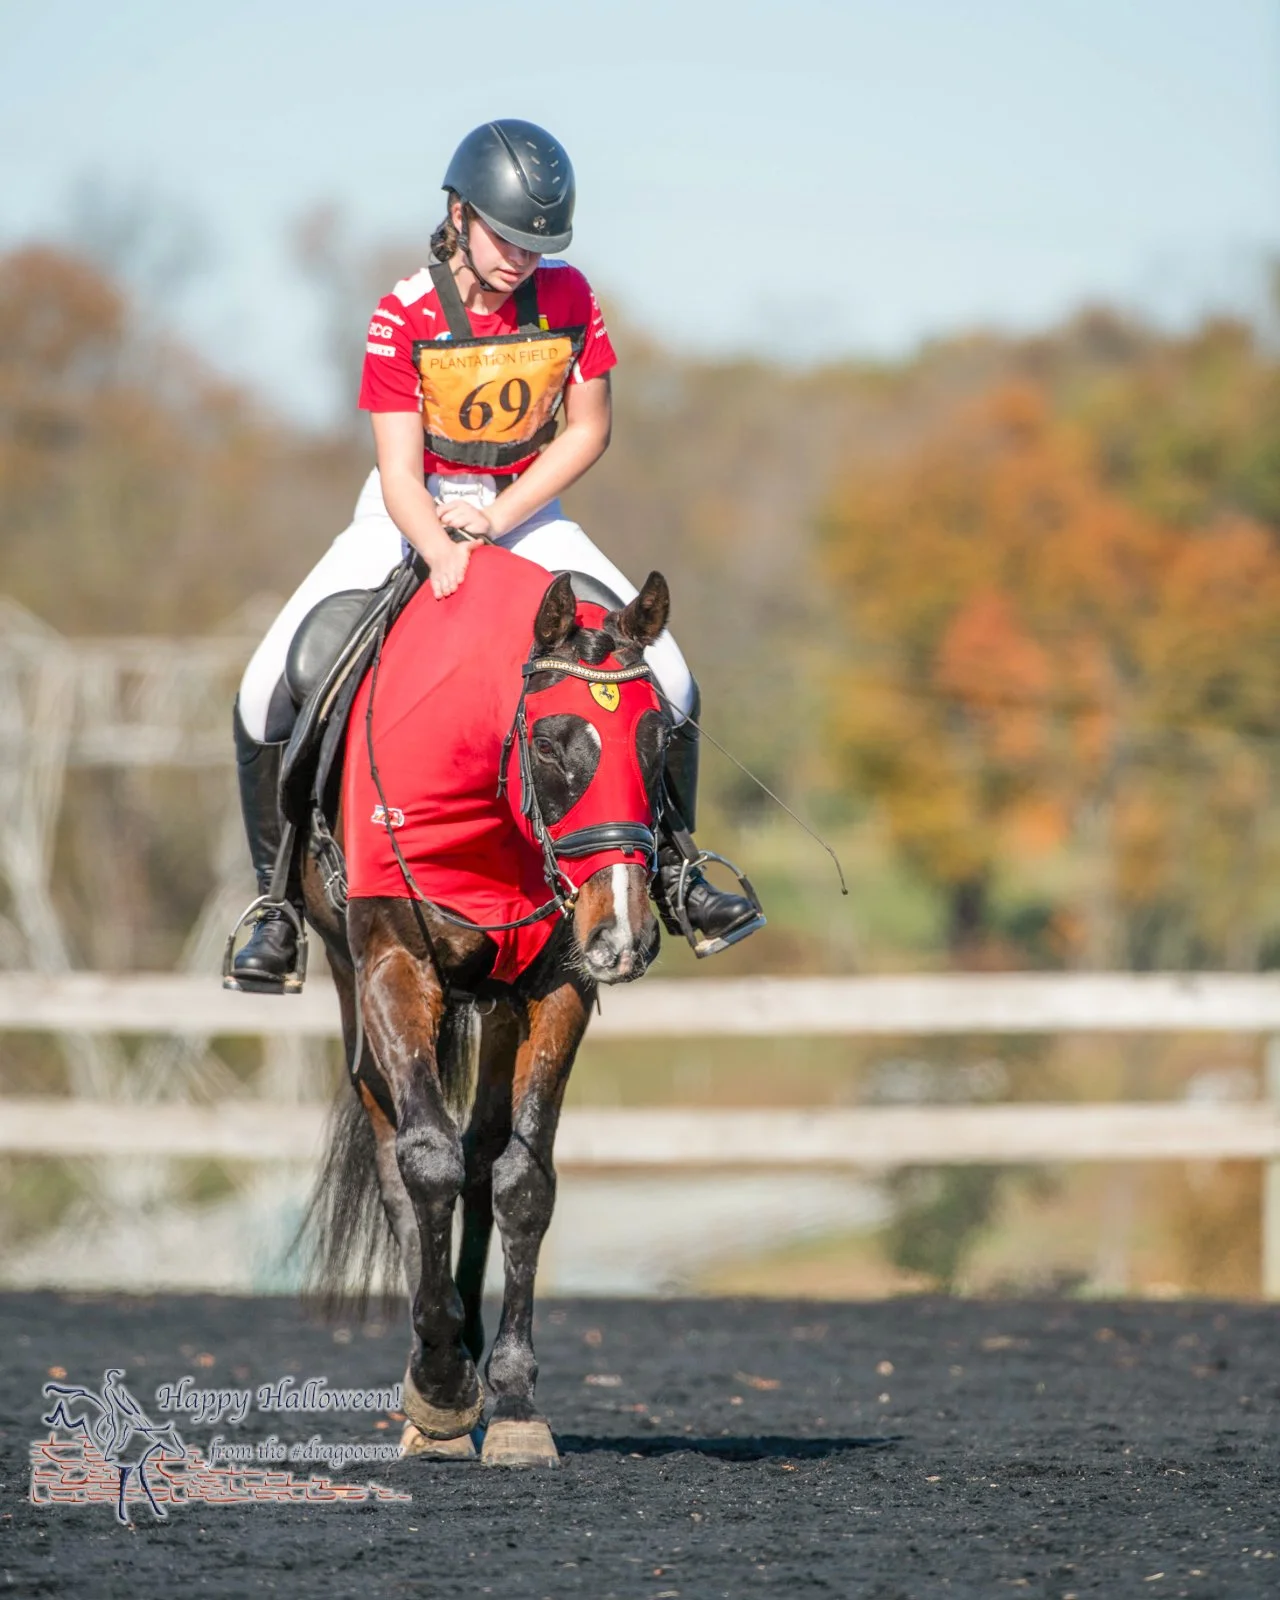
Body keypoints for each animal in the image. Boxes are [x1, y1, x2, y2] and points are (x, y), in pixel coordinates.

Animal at [298, 544, 672, 1467]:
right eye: (550, 742)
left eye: (662, 743)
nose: (623, 935)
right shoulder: (393, 967)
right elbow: (424, 1162)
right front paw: (437, 1389)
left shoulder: (557, 986)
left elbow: (520, 1180)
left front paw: (511, 1398)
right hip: (355, 991)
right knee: (403, 1160)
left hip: (500, 1007)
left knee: (481, 1151)